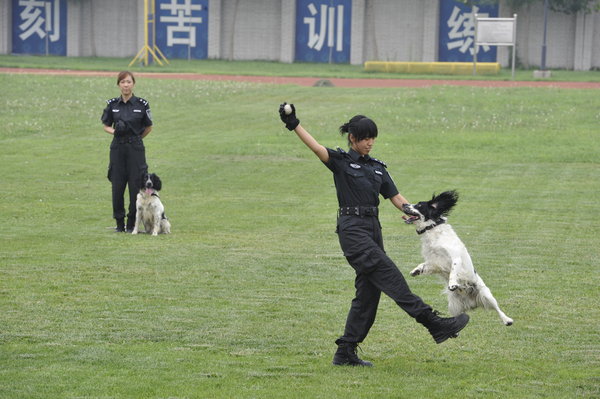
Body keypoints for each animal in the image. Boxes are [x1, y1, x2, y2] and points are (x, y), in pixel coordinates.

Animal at [400, 192, 512, 326]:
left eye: (419, 205)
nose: (403, 204)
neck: (433, 230)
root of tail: (472, 303)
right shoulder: (434, 261)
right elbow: (425, 264)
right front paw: (416, 270)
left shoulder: (455, 257)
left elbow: (453, 272)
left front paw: (452, 284)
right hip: (454, 305)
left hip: (486, 294)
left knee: (497, 308)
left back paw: (507, 320)